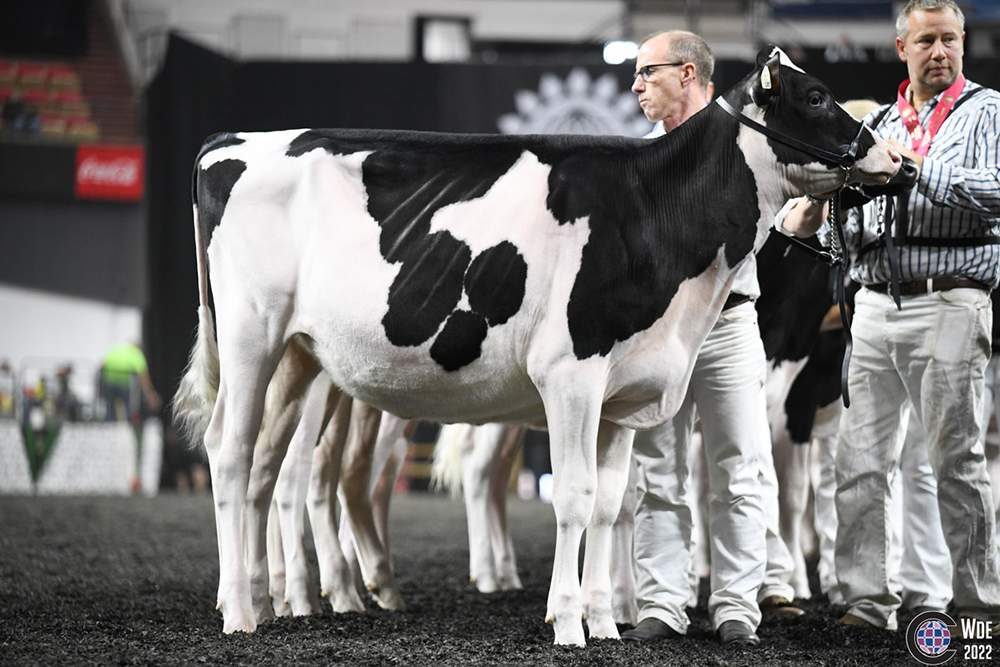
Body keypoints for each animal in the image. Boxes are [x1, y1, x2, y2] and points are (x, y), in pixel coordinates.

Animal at [176, 48, 904, 648]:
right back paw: (242, 610)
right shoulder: (571, 373)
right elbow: (575, 496)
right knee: (234, 453)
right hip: (251, 335)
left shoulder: (622, 394)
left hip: (299, 356)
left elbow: (610, 504)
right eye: (816, 96)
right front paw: (570, 623)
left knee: (267, 464)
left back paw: (269, 600)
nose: (899, 160)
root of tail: (231, 142)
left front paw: (606, 622)